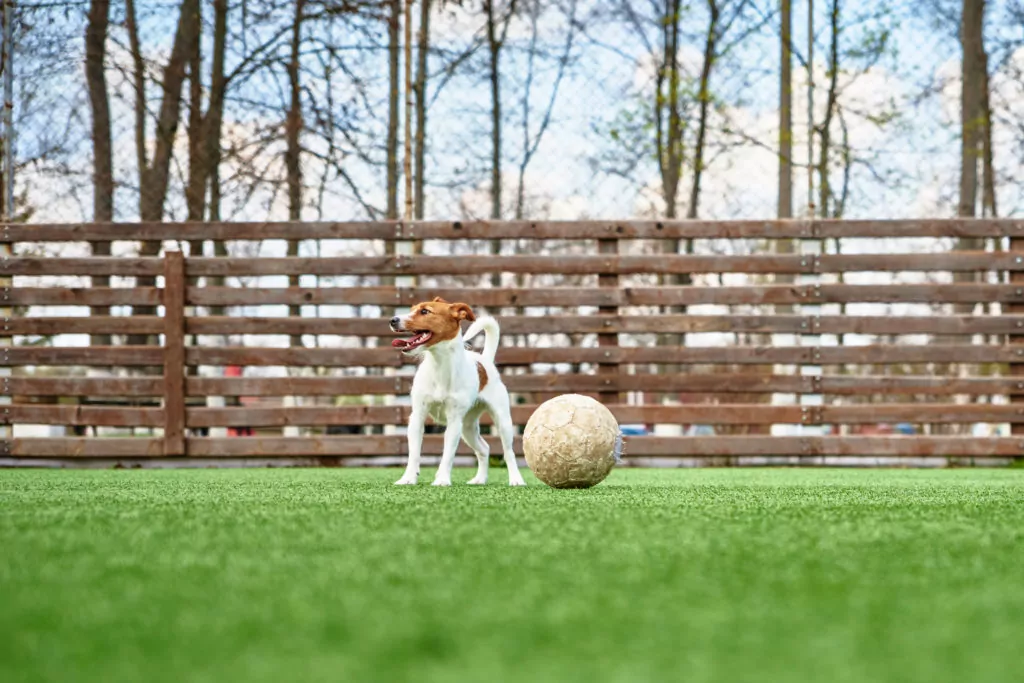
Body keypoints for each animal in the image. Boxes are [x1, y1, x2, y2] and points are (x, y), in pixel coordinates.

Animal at [385, 296, 524, 485]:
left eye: (425, 311)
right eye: (412, 309)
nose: (393, 320)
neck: (439, 365)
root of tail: (485, 360)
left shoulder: (454, 421)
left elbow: (448, 455)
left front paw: (442, 479)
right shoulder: (417, 417)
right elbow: (414, 454)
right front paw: (408, 478)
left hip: (502, 421)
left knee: (508, 452)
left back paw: (516, 479)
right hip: (468, 427)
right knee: (484, 448)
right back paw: (480, 479)